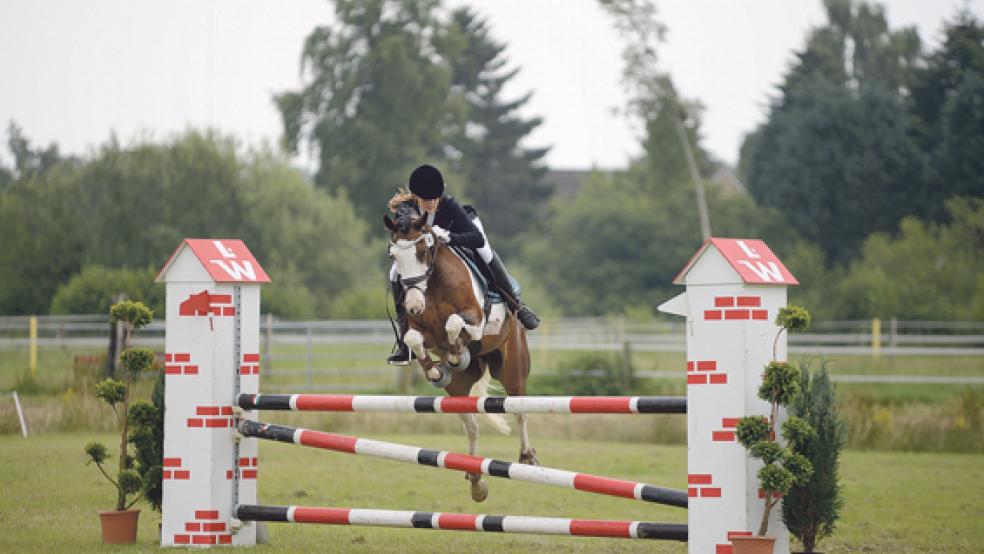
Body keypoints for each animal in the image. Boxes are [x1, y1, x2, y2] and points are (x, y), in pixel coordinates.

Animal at [384, 208, 540, 500]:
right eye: (393, 255)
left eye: (423, 250)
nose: (413, 306)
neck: (433, 285)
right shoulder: (422, 331)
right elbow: (413, 338)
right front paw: (436, 369)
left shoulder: (477, 321)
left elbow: (454, 323)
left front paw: (457, 355)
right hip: (458, 389)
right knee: (472, 424)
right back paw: (476, 479)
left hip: (512, 370)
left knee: (519, 410)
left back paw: (527, 456)